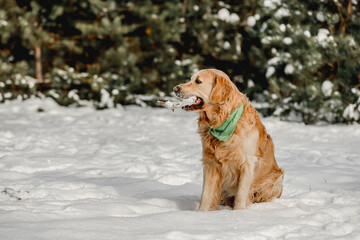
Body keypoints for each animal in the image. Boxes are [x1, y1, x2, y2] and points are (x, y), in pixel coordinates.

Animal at [174, 68, 284, 210]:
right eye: (190, 79)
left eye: (198, 81)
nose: (175, 88)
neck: (221, 120)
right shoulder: (210, 163)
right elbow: (206, 195)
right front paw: (201, 212)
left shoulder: (247, 163)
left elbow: (241, 195)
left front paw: (237, 212)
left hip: (275, 179)